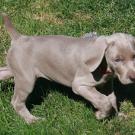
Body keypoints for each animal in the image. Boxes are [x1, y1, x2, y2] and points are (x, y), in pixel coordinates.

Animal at [0, 13, 135, 123]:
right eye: (117, 59)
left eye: (134, 56)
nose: (133, 77)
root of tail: (19, 38)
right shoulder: (80, 84)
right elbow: (103, 100)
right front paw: (101, 114)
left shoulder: (107, 83)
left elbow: (112, 98)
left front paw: (118, 116)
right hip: (26, 78)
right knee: (17, 102)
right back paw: (32, 120)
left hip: (16, 70)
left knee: (3, 72)